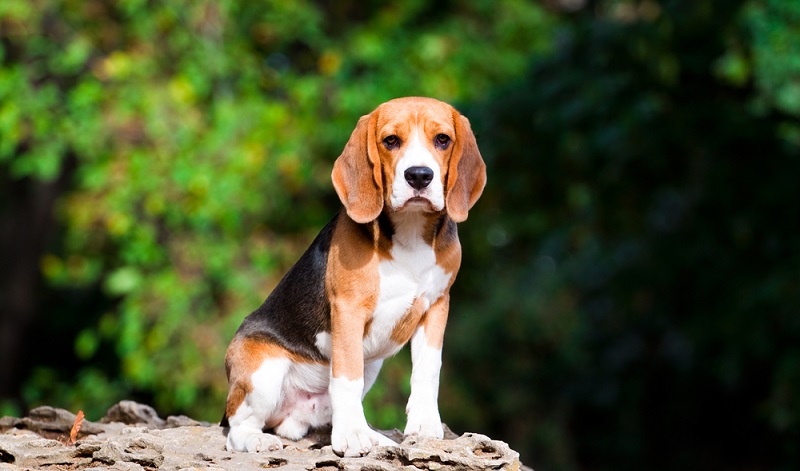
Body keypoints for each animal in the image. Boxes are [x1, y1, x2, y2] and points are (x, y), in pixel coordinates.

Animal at [220, 97, 488, 460]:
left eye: (443, 139)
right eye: (391, 141)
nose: (419, 176)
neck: (410, 230)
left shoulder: (437, 306)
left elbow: (428, 369)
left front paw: (423, 425)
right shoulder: (348, 310)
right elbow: (347, 377)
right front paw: (351, 437)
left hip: (371, 365)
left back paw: (376, 438)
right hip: (262, 372)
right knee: (237, 428)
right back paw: (259, 440)